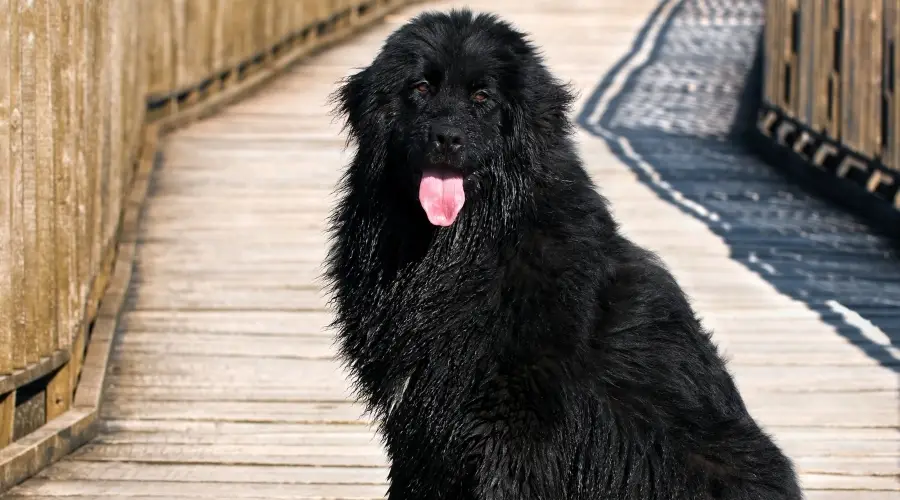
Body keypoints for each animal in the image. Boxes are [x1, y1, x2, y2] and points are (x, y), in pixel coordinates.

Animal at [326, 8, 800, 500]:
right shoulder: (418, 408)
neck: (457, 250)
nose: (447, 137)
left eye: (482, 97)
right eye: (420, 88)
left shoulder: (515, 415)